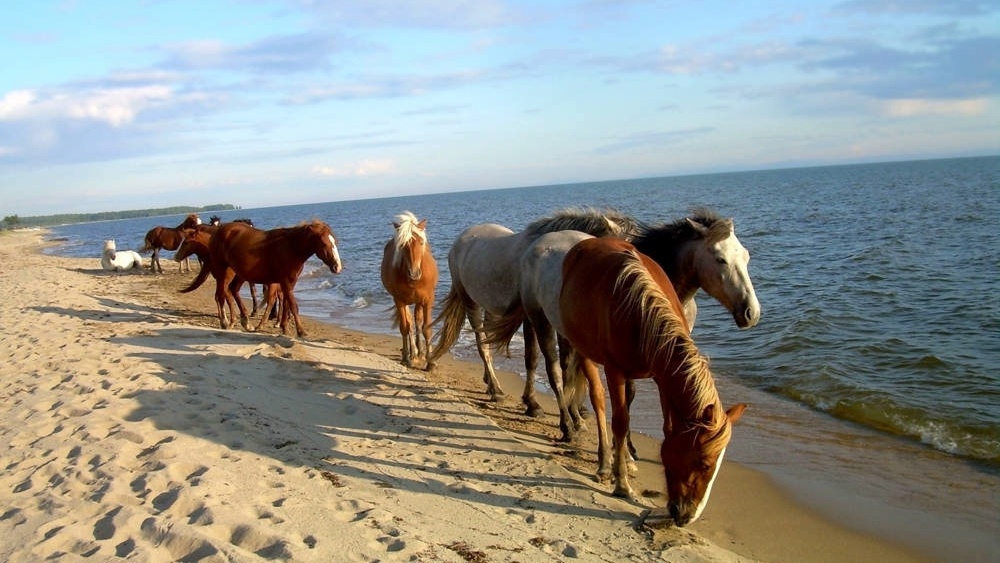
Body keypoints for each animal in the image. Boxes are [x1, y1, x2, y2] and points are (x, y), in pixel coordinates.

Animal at [182, 218, 346, 338]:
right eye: (324, 243)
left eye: (335, 242)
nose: (337, 267)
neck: (291, 247)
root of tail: (218, 232)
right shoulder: (286, 282)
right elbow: (293, 305)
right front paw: (300, 331)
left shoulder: (288, 283)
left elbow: (286, 304)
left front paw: (284, 328)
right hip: (224, 271)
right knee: (221, 295)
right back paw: (225, 322)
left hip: (240, 274)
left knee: (233, 290)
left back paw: (246, 321)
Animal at [378, 212, 438, 370]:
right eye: (403, 245)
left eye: (421, 242)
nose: (414, 273)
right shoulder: (399, 300)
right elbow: (405, 327)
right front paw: (406, 358)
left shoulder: (427, 299)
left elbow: (426, 328)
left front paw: (431, 362)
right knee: (410, 323)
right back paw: (413, 353)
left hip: (418, 301)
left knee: (417, 321)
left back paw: (420, 352)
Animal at [560, 238, 748, 528]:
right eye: (704, 463)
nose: (687, 516)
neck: (641, 311)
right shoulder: (614, 371)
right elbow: (620, 421)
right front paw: (621, 484)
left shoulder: (662, 378)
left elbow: (665, 427)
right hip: (585, 352)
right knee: (599, 400)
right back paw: (605, 464)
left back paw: (625, 458)